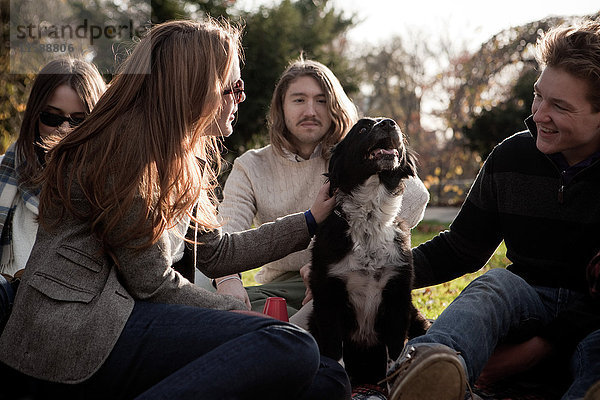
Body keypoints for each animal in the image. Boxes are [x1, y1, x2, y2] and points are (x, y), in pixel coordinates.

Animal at [310, 117, 426, 386]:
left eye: (394, 124)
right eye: (362, 129)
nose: (389, 123)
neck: (370, 221)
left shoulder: (398, 297)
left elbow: (396, 354)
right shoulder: (328, 299)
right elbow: (336, 354)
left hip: (416, 316)